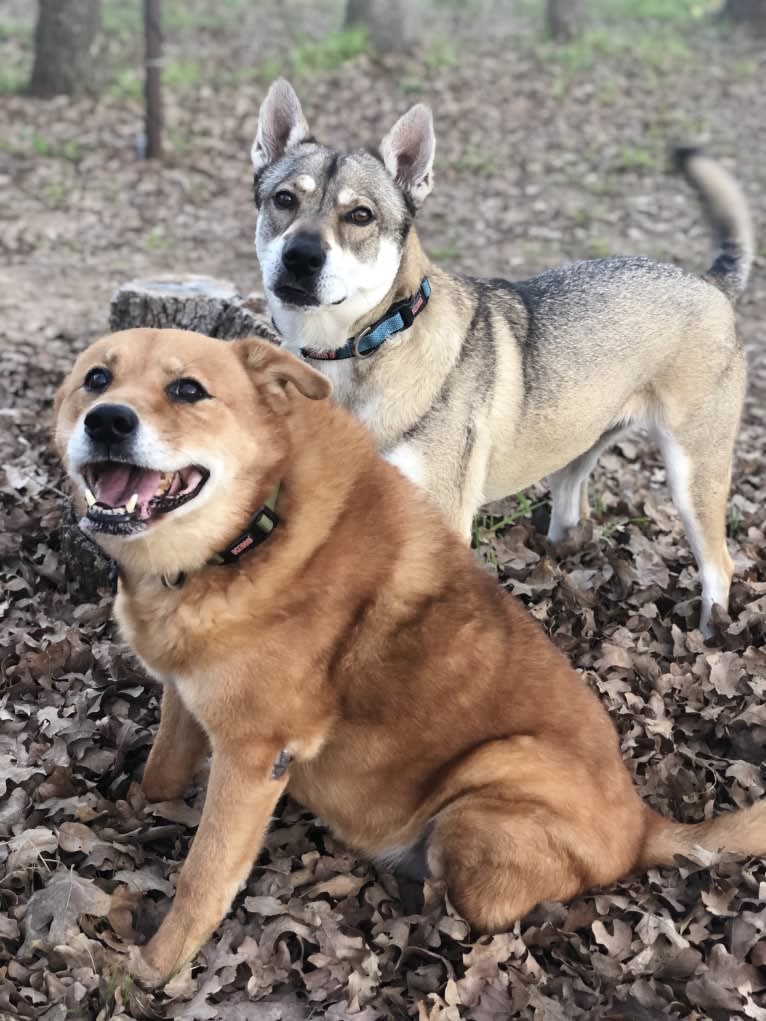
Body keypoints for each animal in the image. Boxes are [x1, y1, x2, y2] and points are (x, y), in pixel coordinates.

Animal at [55, 328, 766, 980]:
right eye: (96, 379)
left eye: (187, 390)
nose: (108, 420)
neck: (255, 528)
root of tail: (643, 825)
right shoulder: (187, 695)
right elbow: (161, 772)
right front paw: (139, 816)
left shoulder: (256, 754)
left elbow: (203, 875)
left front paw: (153, 968)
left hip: (484, 792)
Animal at [253, 79, 755, 633]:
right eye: (284, 199)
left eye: (360, 215)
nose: (300, 256)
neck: (365, 344)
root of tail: (709, 282)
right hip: (579, 444)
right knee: (570, 502)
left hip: (693, 476)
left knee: (720, 566)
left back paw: (711, 630)